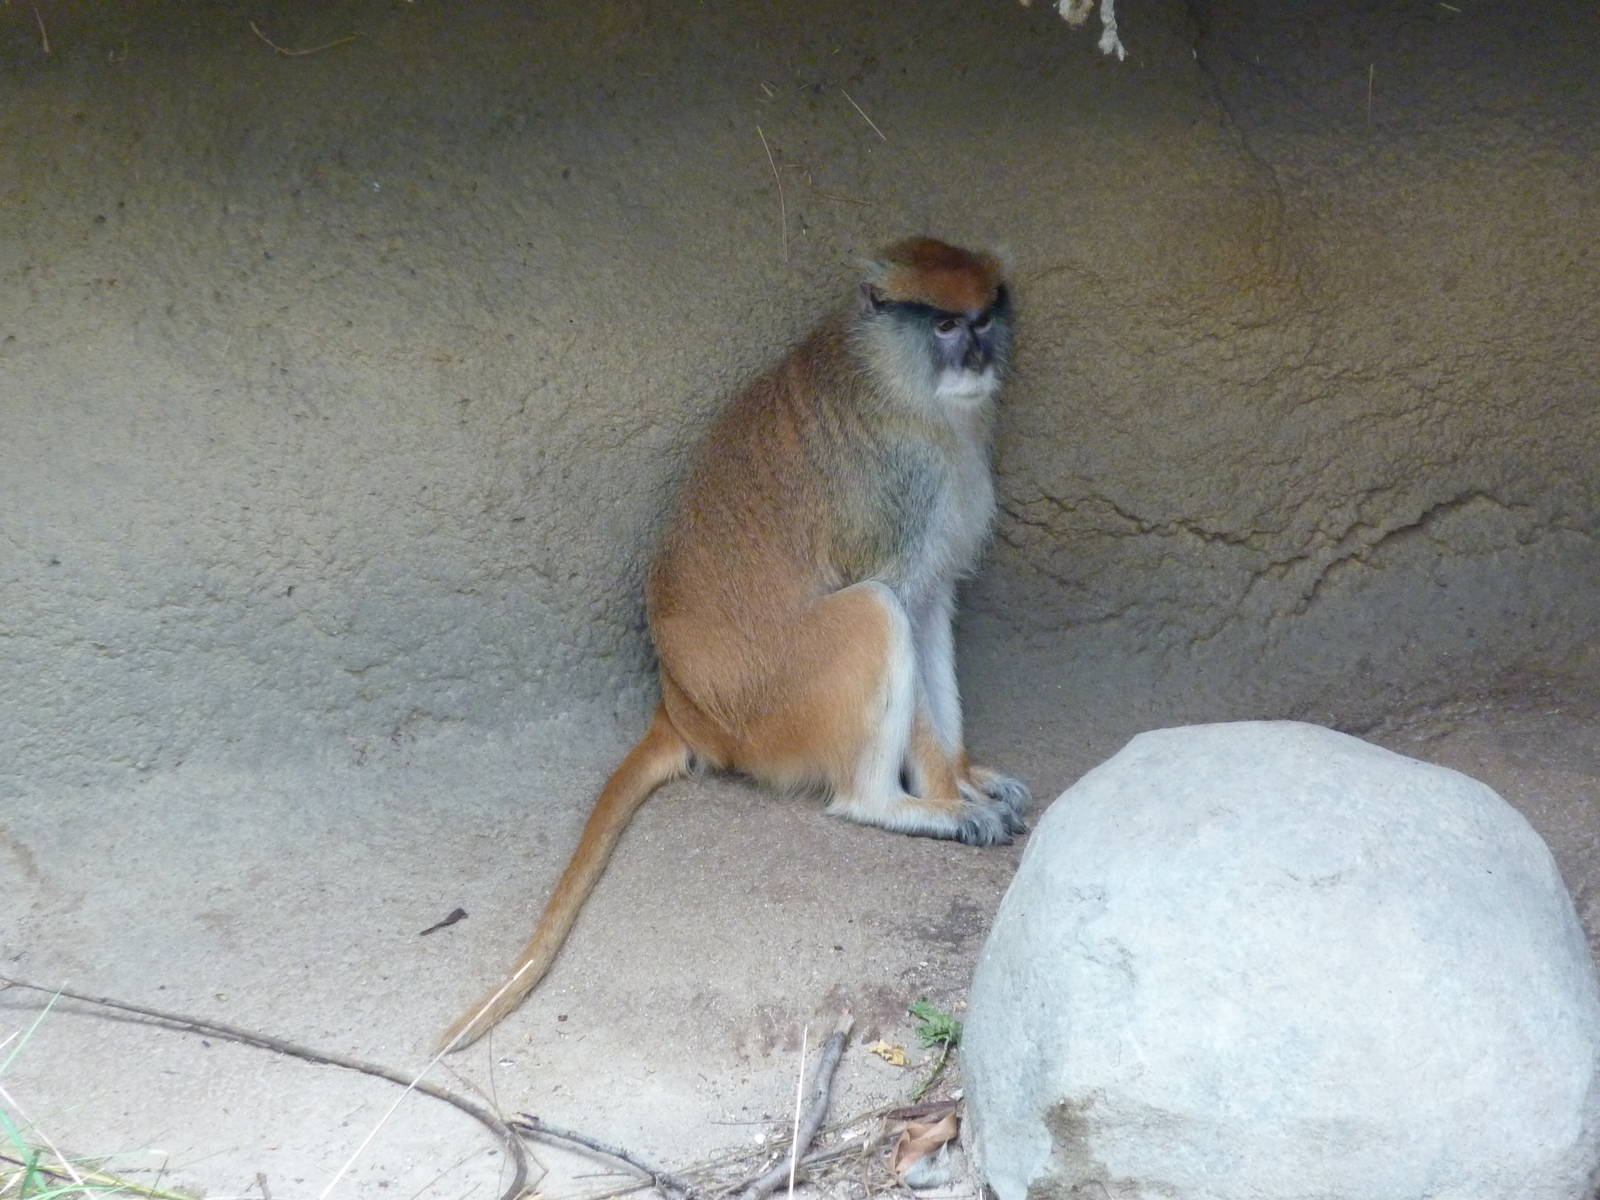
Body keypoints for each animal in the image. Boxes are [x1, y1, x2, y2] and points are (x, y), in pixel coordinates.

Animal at [438, 237, 1029, 1051]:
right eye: (942, 325)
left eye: (982, 318)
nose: (975, 355)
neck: (890, 375)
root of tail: (682, 704)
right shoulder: (900, 486)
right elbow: (902, 599)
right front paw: (949, 798)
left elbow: (934, 608)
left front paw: (971, 775)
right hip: (778, 705)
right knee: (872, 616)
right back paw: (889, 805)